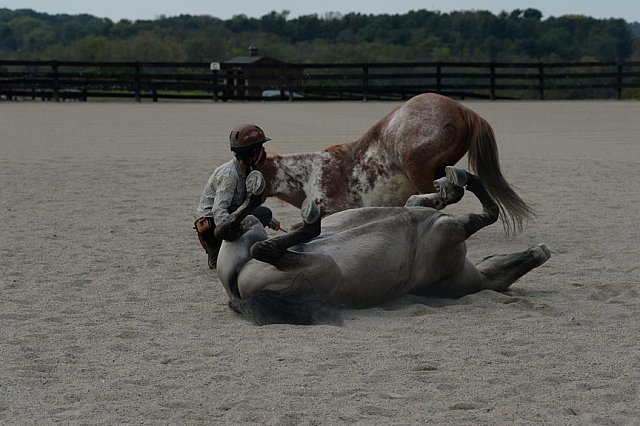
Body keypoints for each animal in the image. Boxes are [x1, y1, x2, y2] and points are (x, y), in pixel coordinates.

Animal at [215, 168, 552, 324]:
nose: (542, 251)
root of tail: (236, 296)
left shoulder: (445, 226)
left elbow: (479, 211)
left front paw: (453, 185)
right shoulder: (447, 226)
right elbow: (484, 212)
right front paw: (456, 182)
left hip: (302, 258)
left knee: (248, 238)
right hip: (313, 261)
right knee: (254, 242)